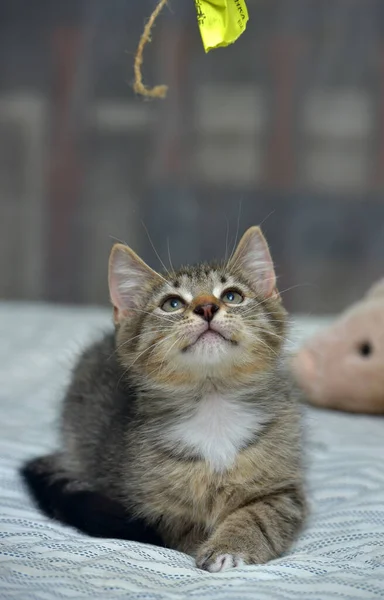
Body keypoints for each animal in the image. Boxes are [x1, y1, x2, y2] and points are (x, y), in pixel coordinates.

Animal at [23, 227, 306, 576]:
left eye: (231, 296)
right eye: (172, 303)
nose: (207, 308)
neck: (213, 405)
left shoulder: (285, 488)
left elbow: (262, 517)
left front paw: (231, 546)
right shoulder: (149, 505)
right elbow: (182, 527)